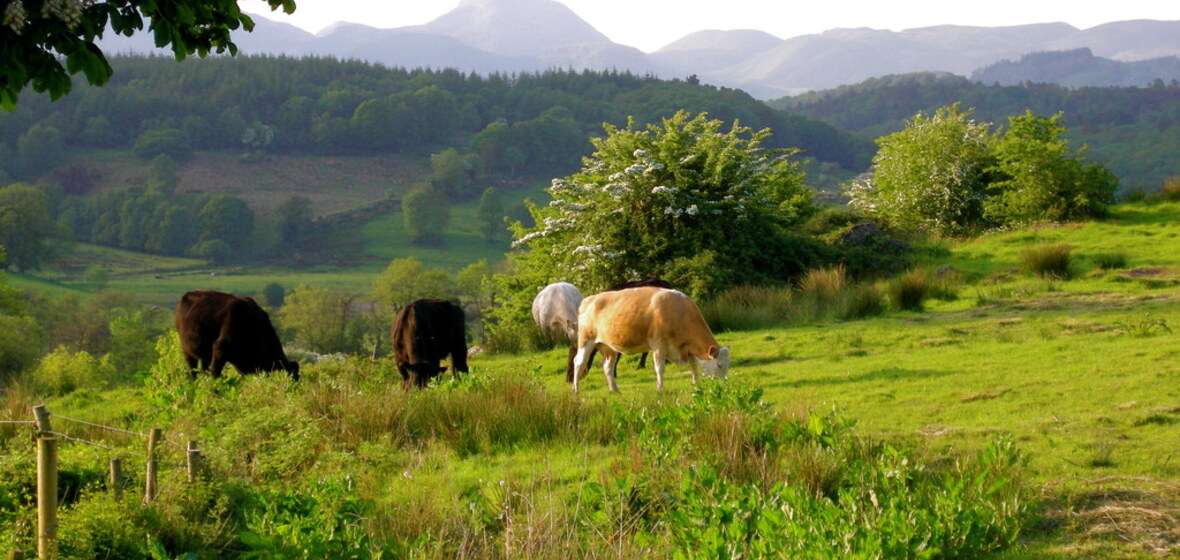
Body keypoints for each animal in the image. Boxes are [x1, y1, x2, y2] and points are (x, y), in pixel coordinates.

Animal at [571, 287, 726, 391]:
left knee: (607, 366)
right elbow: (660, 368)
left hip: (609, 347)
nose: (724, 386)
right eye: (719, 365)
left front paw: (696, 384)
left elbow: (693, 365)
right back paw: (576, 390)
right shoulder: (659, 345)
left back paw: (615, 390)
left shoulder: (686, 347)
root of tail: (588, 299)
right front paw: (660, 389)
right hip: (586, 340)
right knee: (579, 362)